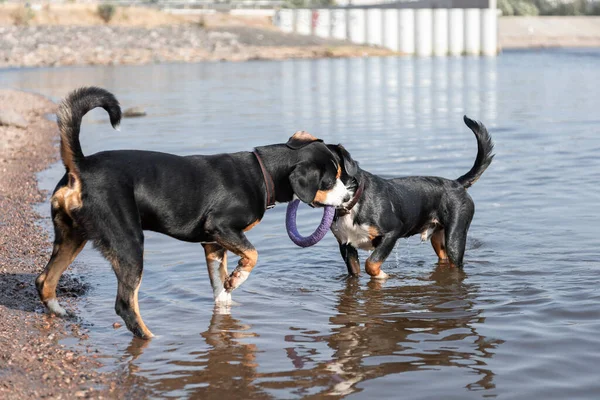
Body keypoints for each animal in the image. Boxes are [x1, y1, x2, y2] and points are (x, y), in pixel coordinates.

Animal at [36, 87, 356, 338]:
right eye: (329, 181)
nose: (348, 197)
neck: (261, 173)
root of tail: (81, 166)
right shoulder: (221, 228)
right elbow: (253, 255)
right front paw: (238, 277)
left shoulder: (213, 244)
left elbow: (220, 291)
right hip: (128, 243)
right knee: (125, 303)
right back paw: (150, 337)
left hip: (71, 236)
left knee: (45, 280)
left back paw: (60, 312)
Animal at [326, 115, 494, 278]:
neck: (351, 203)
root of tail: (456, 183)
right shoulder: (346, 246)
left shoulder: (392, 232)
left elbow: (371, 263)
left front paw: (382, 276)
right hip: (438, 238)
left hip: (455, 237)